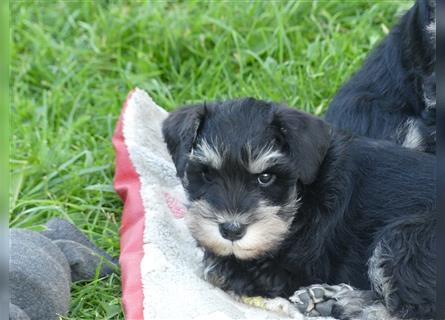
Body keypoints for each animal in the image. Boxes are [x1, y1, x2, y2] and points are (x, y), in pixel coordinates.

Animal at [162, 99, 434, 320]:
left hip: (405, 239)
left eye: (265, 177)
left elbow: (234, 270)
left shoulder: (296, 269)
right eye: (207, 174)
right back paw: (327, 298)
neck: (303, 197)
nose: (231, 230)